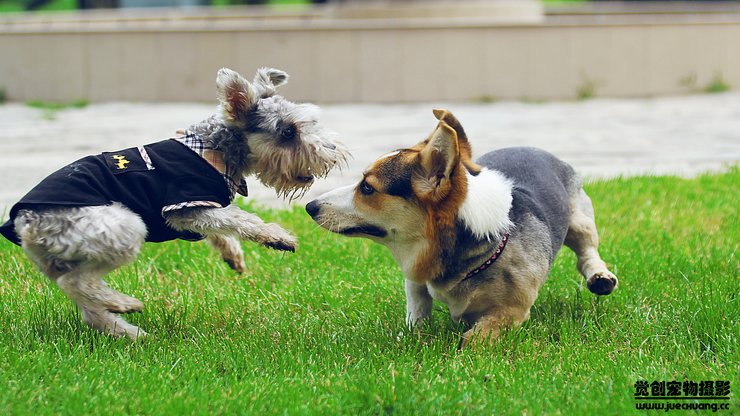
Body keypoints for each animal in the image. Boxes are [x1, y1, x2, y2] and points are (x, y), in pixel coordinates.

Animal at [0, 67, 350, 338]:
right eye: (288, 132)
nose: (334, 152)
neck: (215, 147)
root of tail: (25, 221)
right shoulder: (188, 207)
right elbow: (239, 218)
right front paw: (277, 237)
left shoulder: (201, 212)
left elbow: (223, 227)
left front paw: (233, 256)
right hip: (123, 228)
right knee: (76, 282)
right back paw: (125, 304)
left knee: (87, 307)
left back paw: (130, 332)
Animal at [304, 108, 616, 348]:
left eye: (367, 188)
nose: (310, 206)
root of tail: (536, 149)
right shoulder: (414, 276)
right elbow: (417, 307)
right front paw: (414, 334)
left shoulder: (512, 309)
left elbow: (477, 335)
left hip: (580, 221)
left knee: (587, 253)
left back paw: (600, 276)